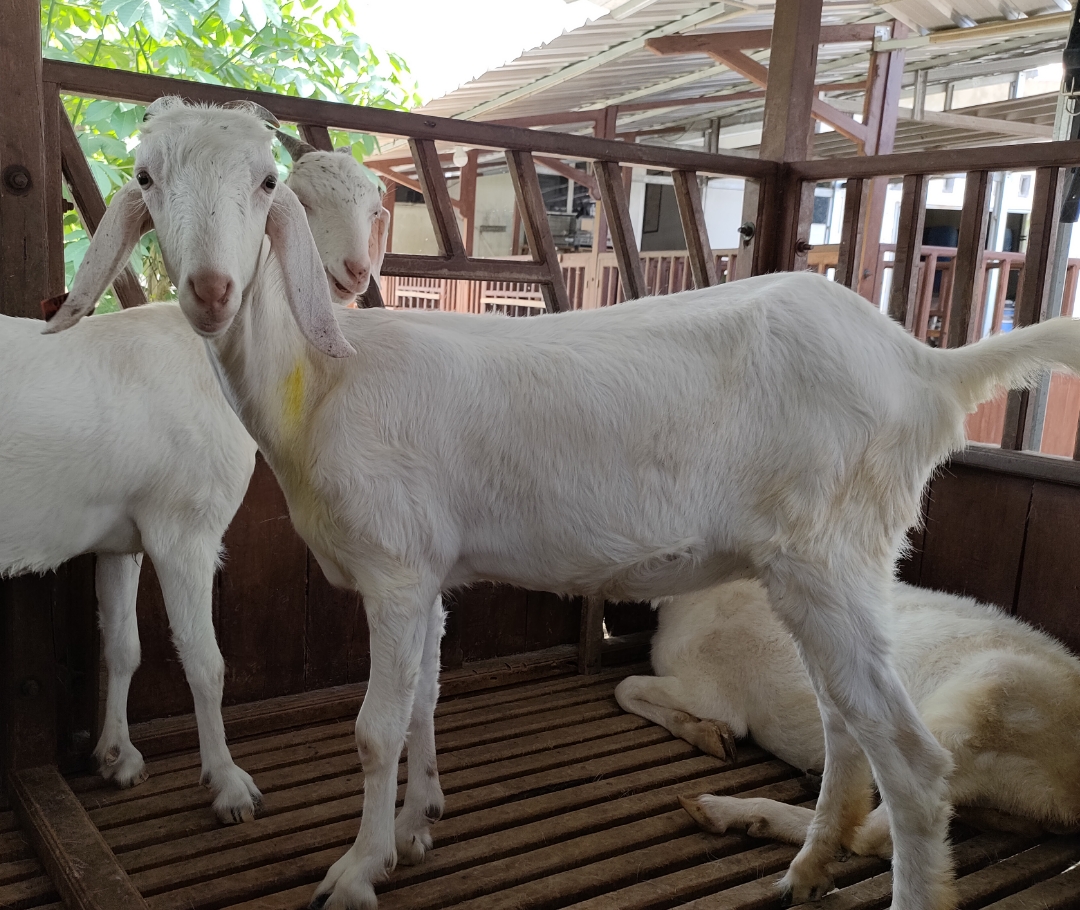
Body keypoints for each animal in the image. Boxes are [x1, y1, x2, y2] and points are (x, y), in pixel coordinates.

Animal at [1, 113, 387, 824]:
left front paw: (117, 758)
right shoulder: (184, 529)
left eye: (373, 207)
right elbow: (205, 662)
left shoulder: (121, 535)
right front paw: (229, 785)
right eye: (297, 195)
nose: (350, 273)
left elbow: (122, 647)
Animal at [617, 578, 1080, 859]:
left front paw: (710, 734)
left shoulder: (710, 689)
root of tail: (1066, 794)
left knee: (876, 833)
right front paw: (710, 736)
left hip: (971, 712)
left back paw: (730, 811)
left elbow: (625, 688)